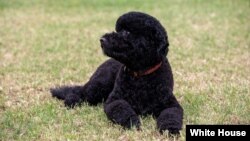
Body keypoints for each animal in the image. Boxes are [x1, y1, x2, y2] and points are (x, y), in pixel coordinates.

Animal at [51, 11, 184, 134]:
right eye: (118, 30)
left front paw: (170, 129)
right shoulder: (114, 100)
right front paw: (133, 123)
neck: (141, 76)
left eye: (126, 32)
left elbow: (170, 116)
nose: (102, 39)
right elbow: (122, 110)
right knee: (80, 93)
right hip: (98, 85)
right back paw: (71, 101)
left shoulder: (171, 105)